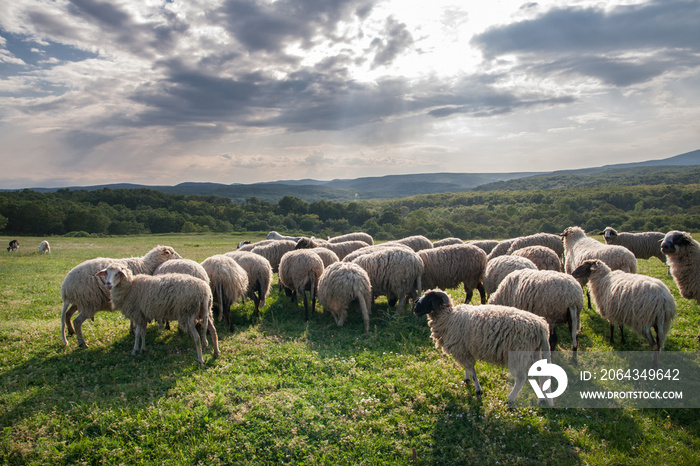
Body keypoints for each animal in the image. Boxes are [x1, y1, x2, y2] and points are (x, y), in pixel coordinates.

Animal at [410, 290, 552, 406]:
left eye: (429, 299)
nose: (415, 309)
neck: (449, 317)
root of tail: (541, 326)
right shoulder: (464, 350)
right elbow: (467, 368)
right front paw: (466, 380)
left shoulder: (461, 350)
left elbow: (472, 370)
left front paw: (478, 391)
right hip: (534, 352)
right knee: (541, 374)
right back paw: (541, 400)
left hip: (518, 354)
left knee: (521, 378)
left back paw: (510, 399)